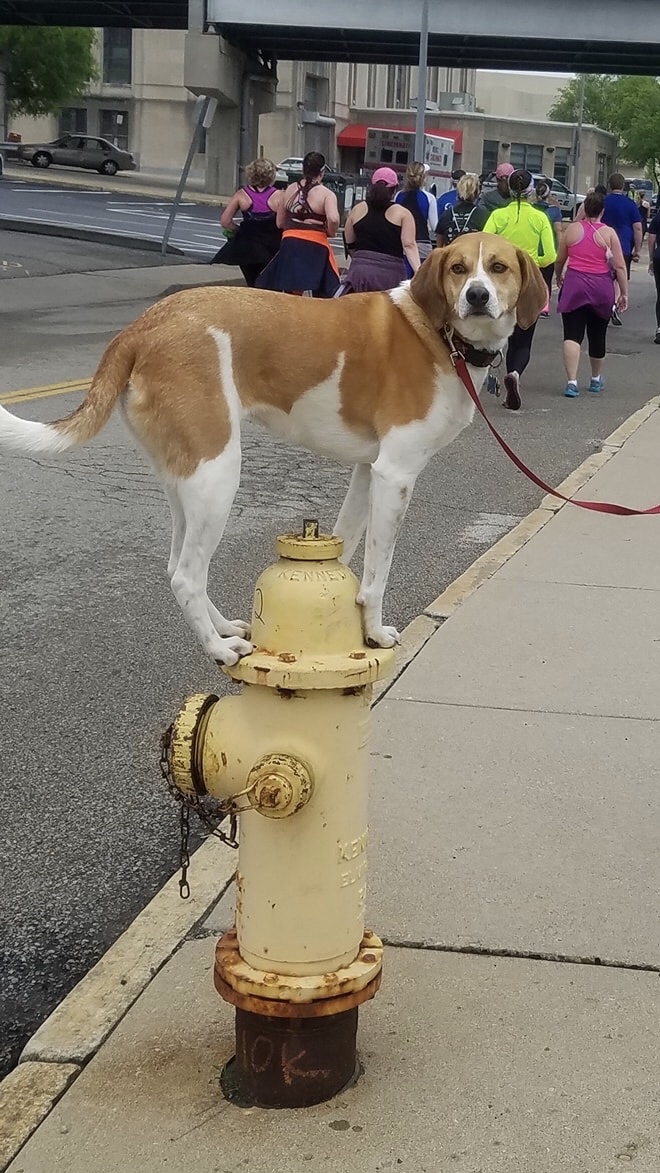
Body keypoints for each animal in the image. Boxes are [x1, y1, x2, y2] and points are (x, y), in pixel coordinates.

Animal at [0, 233, 548, 666]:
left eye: (498, 267)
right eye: (459, 268)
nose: (476, 295)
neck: (439, 334)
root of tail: (141, 327)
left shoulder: (368, 471)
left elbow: (349, 548)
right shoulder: (396, 474)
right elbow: (378, 568)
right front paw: (373, 633)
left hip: (187, 481)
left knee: (178, 565)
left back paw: (222, 629)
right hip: (218, 475)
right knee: (186, 576)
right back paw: (219, 650)